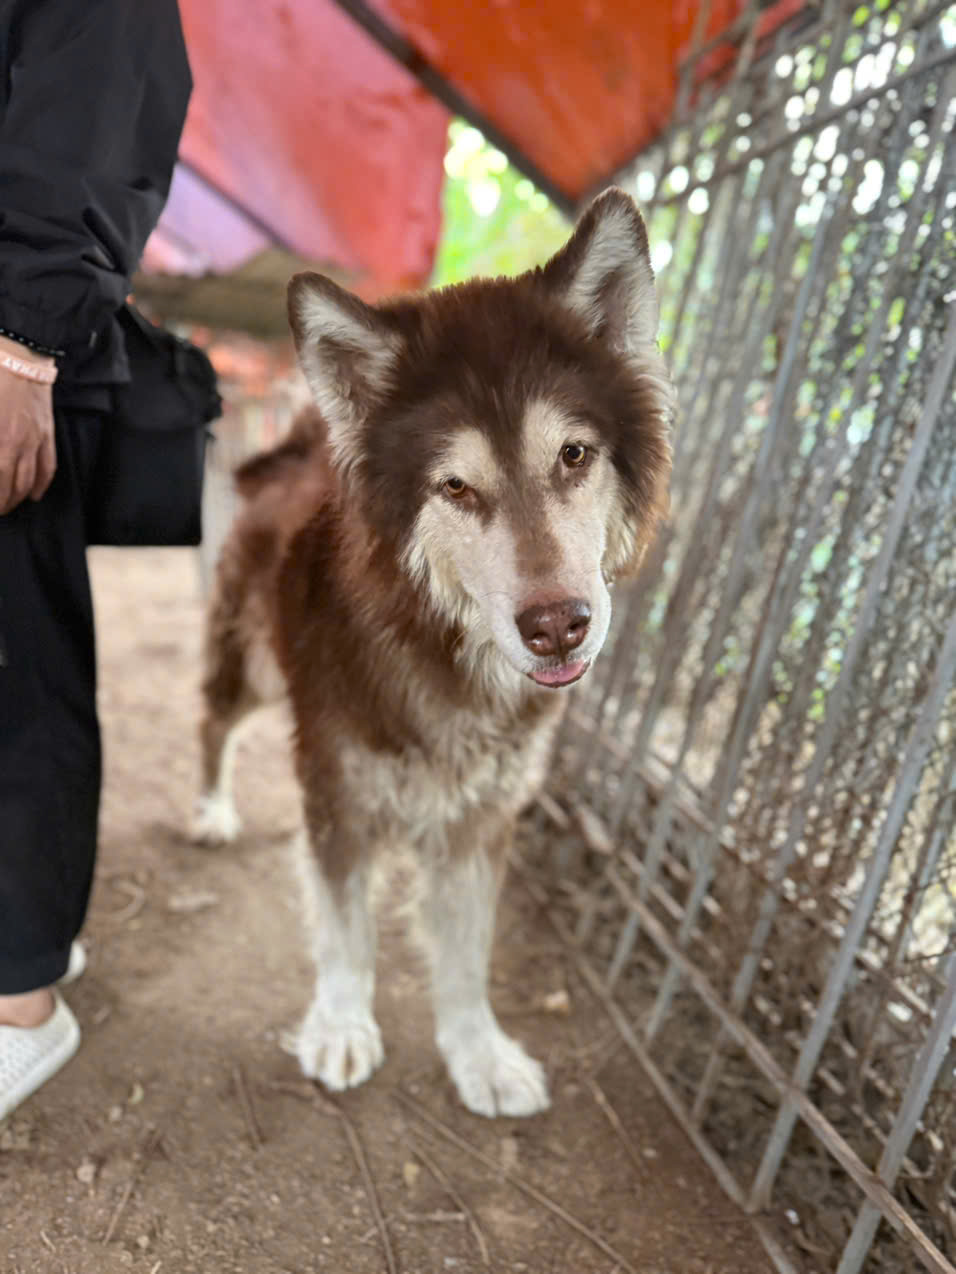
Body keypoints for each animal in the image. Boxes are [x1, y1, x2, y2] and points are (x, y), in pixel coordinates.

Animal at [192, 188, 674, 1117]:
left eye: (574, 455)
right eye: (455, 486)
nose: (557, 625)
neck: (445, 656)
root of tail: (292, 456)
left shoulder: (481, 825)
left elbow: (465, 959)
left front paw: (478, 1053)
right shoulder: (338, 798)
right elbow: (347, 935)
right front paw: (342, 1026)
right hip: (253, 668)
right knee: (212, 724)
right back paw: (210, 810)